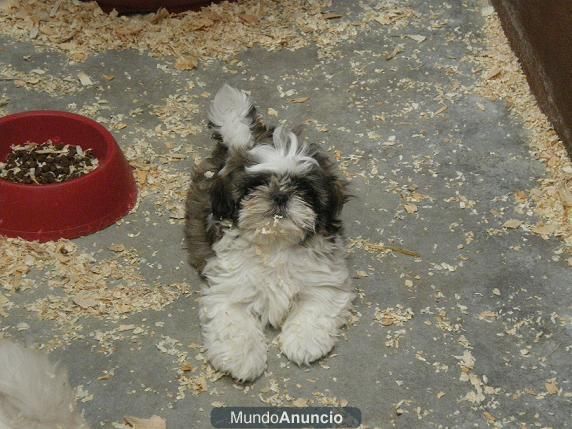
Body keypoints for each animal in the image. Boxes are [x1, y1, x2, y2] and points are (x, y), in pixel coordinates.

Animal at [185, 85, 354, 380]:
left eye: (303, 189)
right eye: (255, 186)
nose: (280, 195)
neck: (275, 245)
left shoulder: (325, 277)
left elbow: (316, 304)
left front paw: (304, 342)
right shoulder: (226, 287)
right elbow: (233, 320)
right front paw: (241, 358)